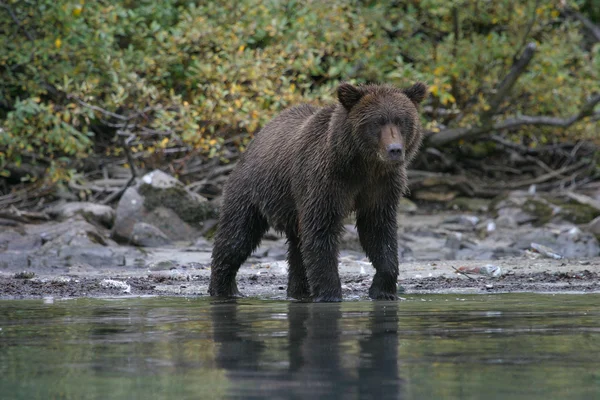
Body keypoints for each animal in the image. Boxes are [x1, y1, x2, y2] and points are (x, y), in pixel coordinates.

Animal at [209, 81, 424, 302]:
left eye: (402, 121)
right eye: (377, 122)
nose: (394, 149)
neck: (362, 166)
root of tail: (255, 139)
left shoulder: (381, 186)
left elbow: (379, 231)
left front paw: (383, 290)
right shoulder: (324, 181)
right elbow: (321, 231)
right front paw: (330, 294)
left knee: (296, 249)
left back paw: (298, 292)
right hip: (251, 190)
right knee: (237, 236)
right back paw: (225, 288)